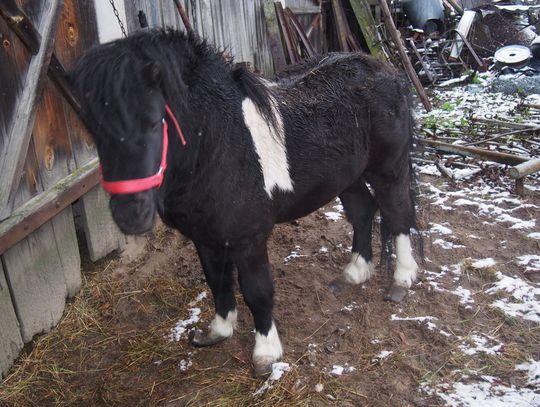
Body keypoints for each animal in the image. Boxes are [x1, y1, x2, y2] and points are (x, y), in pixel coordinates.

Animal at [70, 30, 418, 378]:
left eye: (156, 122)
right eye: (95, 129)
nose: (130, 214)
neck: (218, 143)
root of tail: (389, 73)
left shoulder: (248, 240)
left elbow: (256, 290)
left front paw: (266, 352)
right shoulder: (204, 237)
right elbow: (217, 280)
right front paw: (219, 330)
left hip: (388, 171)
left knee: (398, 215)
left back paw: (402, 279)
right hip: (347, 177)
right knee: (363, 212)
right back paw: (355, 273)